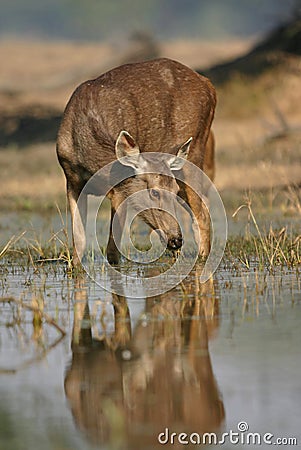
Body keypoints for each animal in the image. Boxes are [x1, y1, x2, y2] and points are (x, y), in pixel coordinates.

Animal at [56, 58, 214, 266]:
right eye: (154, 192)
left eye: (174, 190)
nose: (176, 239)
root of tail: (209, 85)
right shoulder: (72, 180)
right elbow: (79, 245)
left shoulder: (120, 189)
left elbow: (113, 252)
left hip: (195, 152)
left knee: (202, 214)